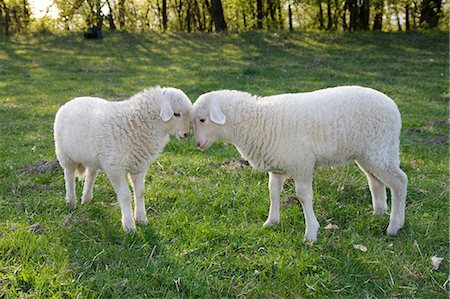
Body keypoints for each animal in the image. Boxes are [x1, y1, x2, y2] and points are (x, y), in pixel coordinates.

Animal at [54, 85, 192, 233]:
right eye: (176, 114)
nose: (186, 134)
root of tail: (71, 101)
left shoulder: (139, 167)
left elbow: (140, 193)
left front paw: (142, 219)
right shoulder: (115, 169)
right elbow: (125, 196)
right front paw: (129, 226)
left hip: (92, 157)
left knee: (91, 174)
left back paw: (86, 198)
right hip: (65, 154)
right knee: (69, 176)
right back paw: (71, 202)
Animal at [192, 85, 410, 243]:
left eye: (202, 120)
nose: (198, 144)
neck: (258, 121)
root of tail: (393, 107)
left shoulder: (302, 164)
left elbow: (304, 196)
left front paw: (311, 233)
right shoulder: (277, 166)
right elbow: (273, 192)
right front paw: (271, 222)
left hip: (380, 150)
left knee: (400, 182)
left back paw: (394, 225)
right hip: (368, 154)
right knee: (376, 182)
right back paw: (378, 213)